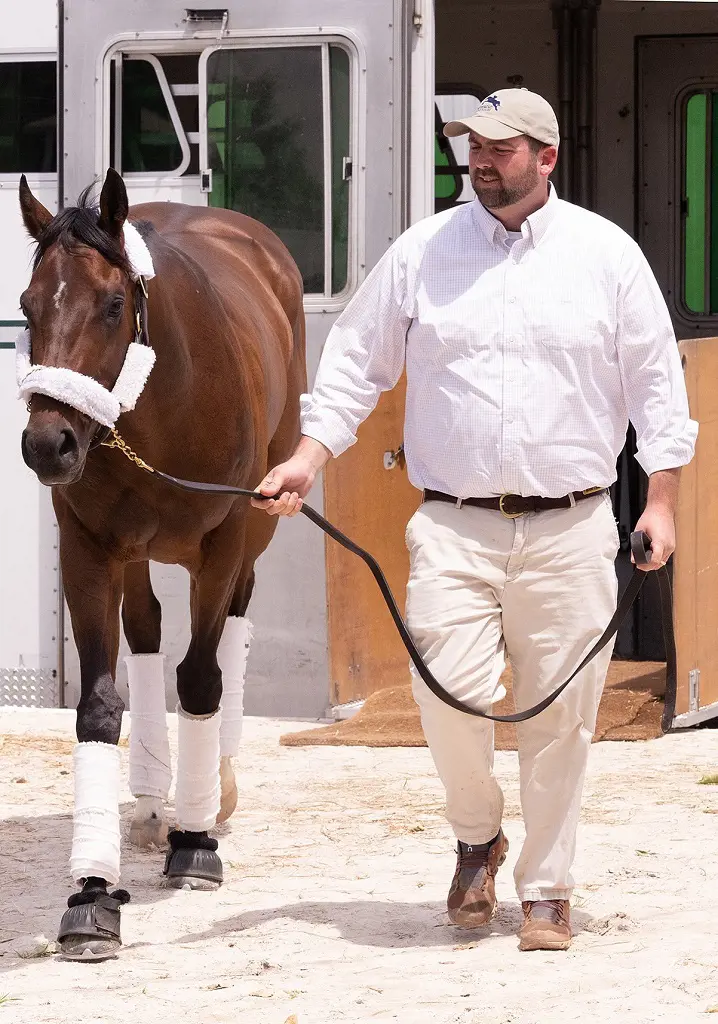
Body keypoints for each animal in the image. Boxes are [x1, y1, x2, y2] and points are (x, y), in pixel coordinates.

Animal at [16, 167, 303, 958]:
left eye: (113, 305)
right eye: (25, 305)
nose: (47, 445)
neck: (165, 403)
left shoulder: (225, 539)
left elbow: (202, 678)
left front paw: (196, 841)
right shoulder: (88, 548)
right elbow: (97, 704)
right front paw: (91, 894)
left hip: (255, 534)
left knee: (231, 629)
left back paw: (215, 790)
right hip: (135, 554)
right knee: (144, 631)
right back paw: (150, 800)